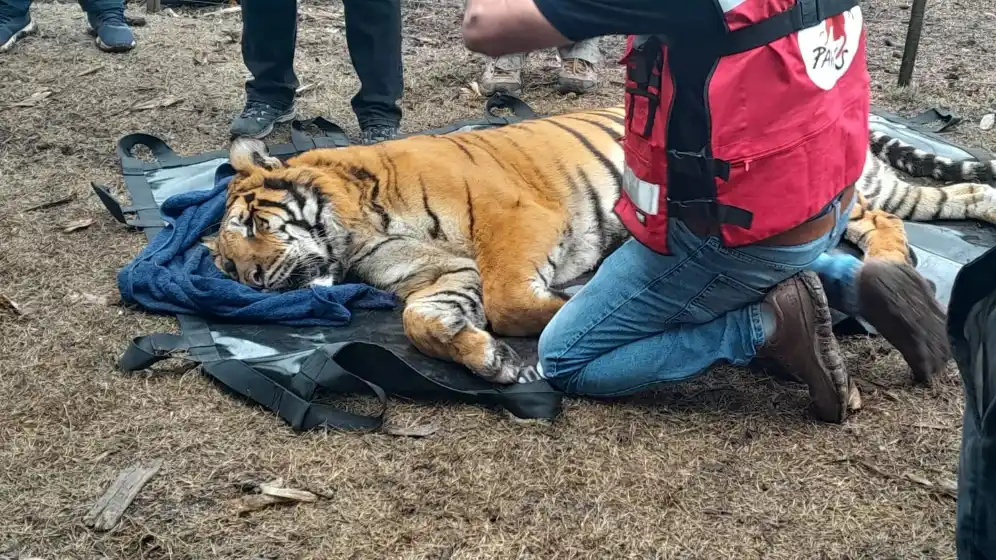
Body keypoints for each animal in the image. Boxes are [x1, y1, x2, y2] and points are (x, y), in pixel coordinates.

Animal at [208, 105, 996, 385]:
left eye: (250, 228)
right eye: (224, 263)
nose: (253, 282)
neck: (356, 236)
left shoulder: (513, 217)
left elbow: (516, 300)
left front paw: (570, 300)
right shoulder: (436, 277)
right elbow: (423, 321)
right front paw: (489, 361)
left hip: (843, 194)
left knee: (886, 225)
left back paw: (891, 272)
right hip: (895, 189)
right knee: (955, 199)